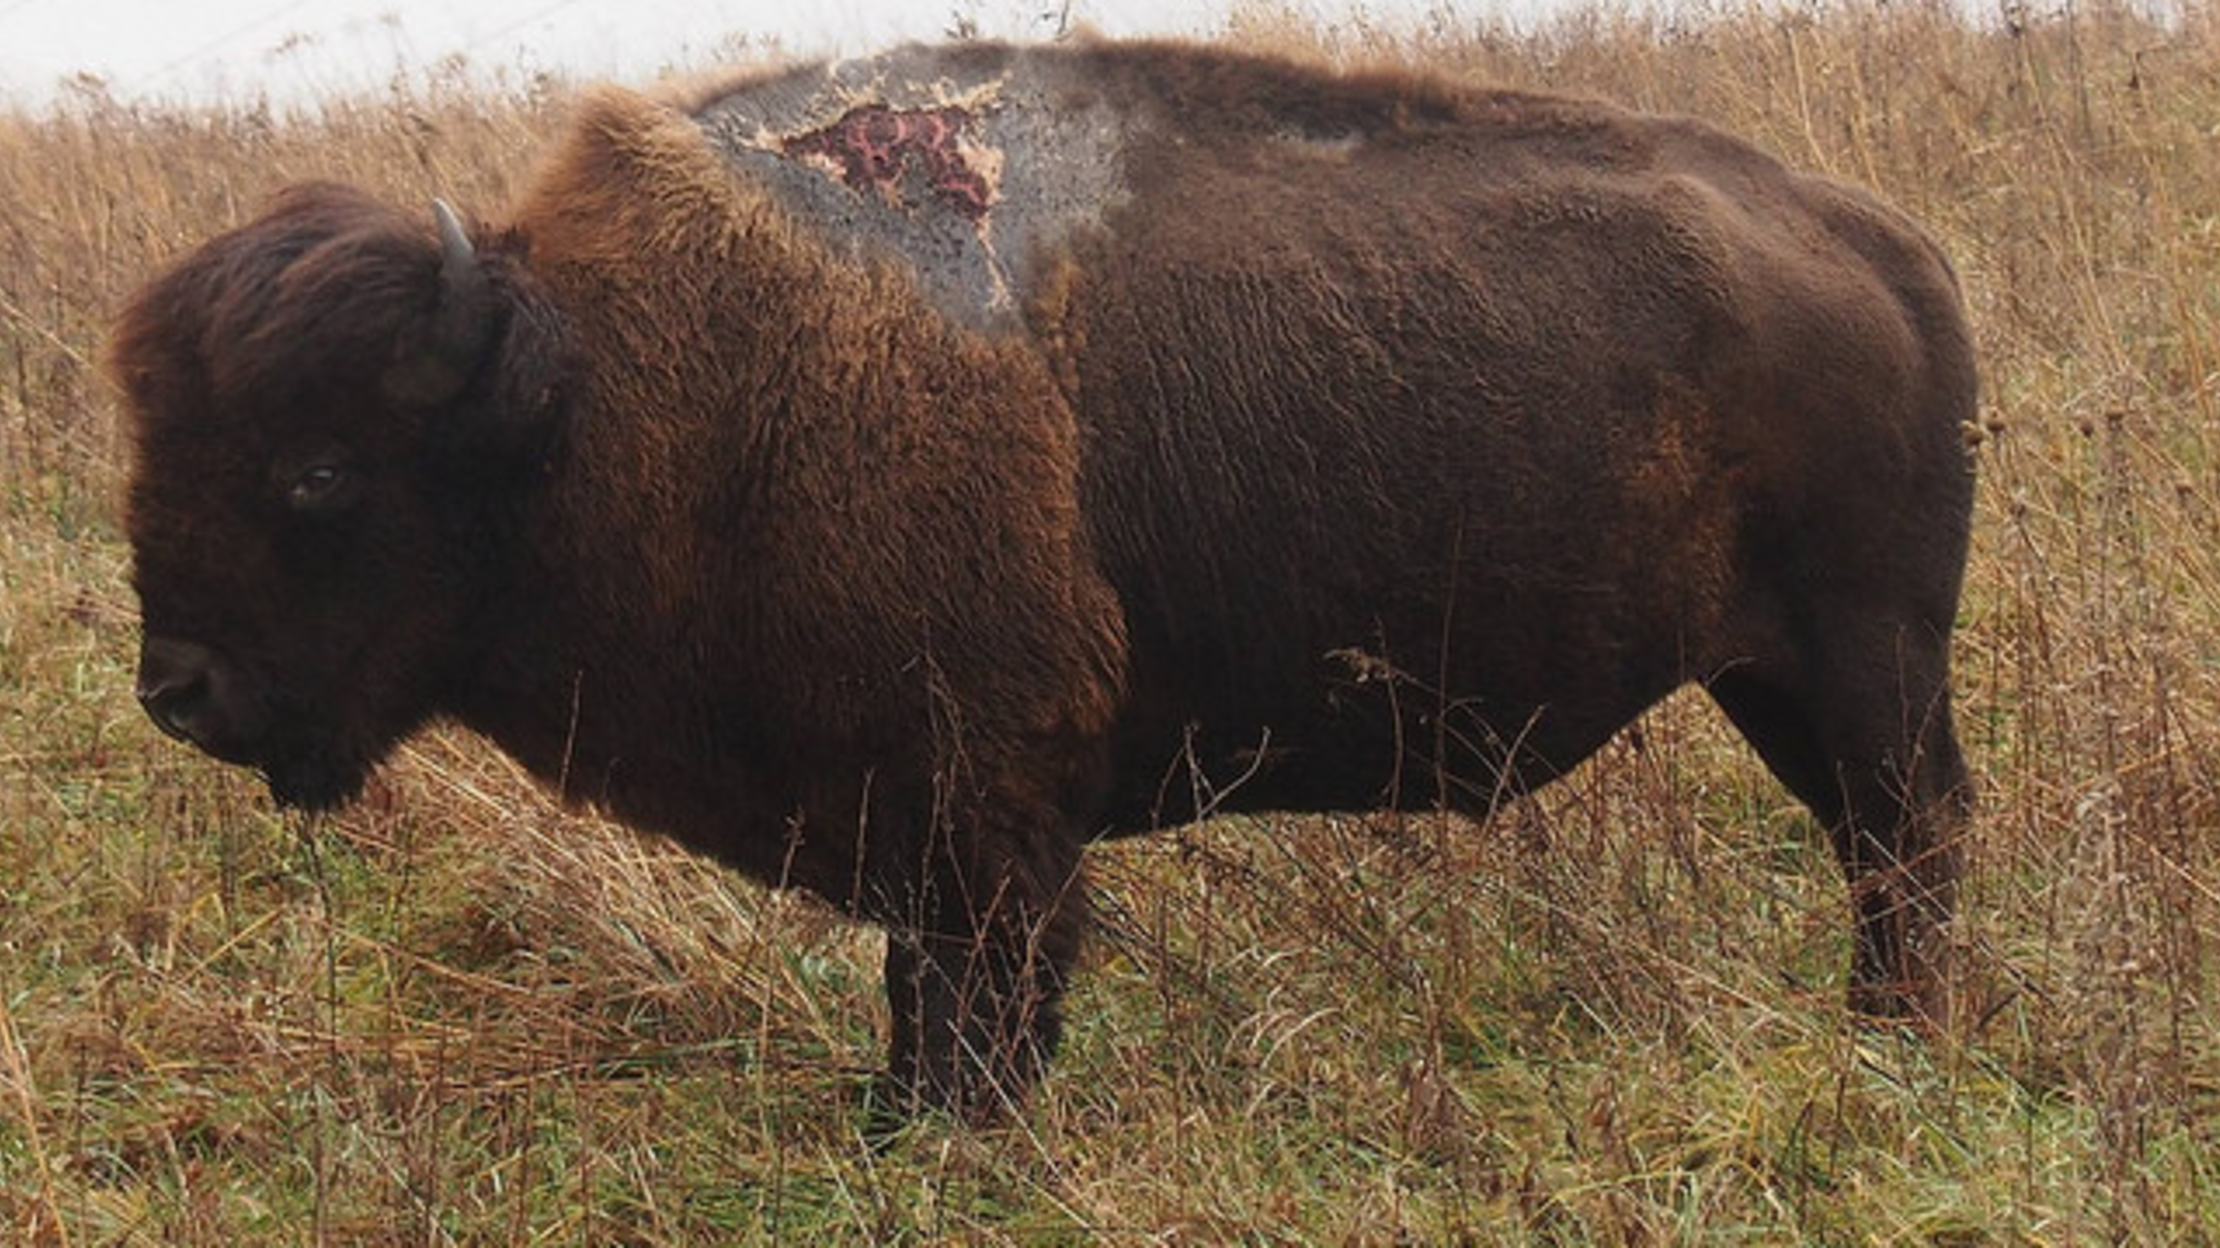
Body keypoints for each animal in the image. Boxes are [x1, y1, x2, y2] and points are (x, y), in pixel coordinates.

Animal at [112, 41, 1980, 1119]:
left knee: (1912, 835)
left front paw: (956, 1134)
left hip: (1861, 664)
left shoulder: (988, 817)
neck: (599, 387)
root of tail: (1881, 243)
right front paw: (890, 1121)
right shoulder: (912, 816)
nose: (176, 689)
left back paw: (1896, 1038)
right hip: (1778, 678)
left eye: (319, 467)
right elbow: (912, 995)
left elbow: (982, 999)